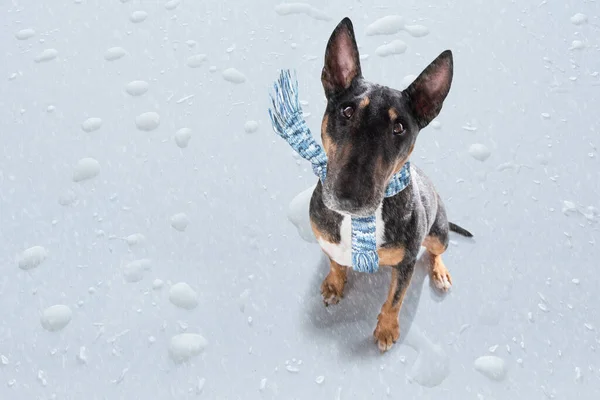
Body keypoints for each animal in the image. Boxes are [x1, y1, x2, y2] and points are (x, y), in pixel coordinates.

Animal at [310, 17, 474, 352]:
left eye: (399, 127)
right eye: (347, 111)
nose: (349, 196)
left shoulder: (406, 264)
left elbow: (395, 299)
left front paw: (386, 330)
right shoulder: (326, 239)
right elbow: (335, 263)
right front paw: (334, 284)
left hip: (438, 232)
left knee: (437, 250)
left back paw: (440, 273)